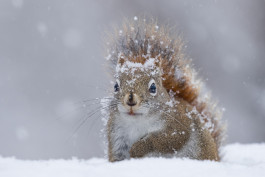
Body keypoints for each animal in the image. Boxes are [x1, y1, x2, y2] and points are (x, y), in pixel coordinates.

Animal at [102, 16, 223, 162]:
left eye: (153, 87)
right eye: (116, 86)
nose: (131, 99)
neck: (137, 122)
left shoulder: (179, 125)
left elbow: (162, 140)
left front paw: (138, 148)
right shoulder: (117, 135)